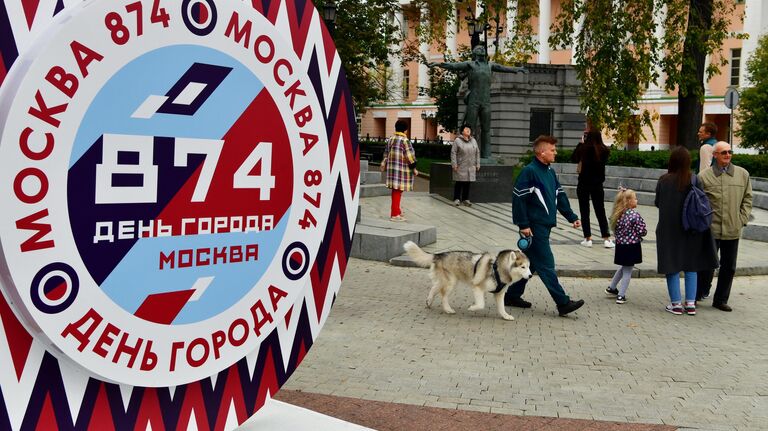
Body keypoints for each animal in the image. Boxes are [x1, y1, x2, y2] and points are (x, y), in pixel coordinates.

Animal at [402, 243, 536, 320]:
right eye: (523, 267)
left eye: (529, 267)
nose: (530, 275)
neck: (498, 268)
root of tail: (439, 254)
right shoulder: (477, 287)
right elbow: (481, 304)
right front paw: (472, 308)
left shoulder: (499, 293)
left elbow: (502, 307)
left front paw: (505, 316)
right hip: (451, 283)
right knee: (443, 296)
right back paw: (448, 309)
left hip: (447, 281)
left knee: (434, 288)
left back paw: (429, 301)